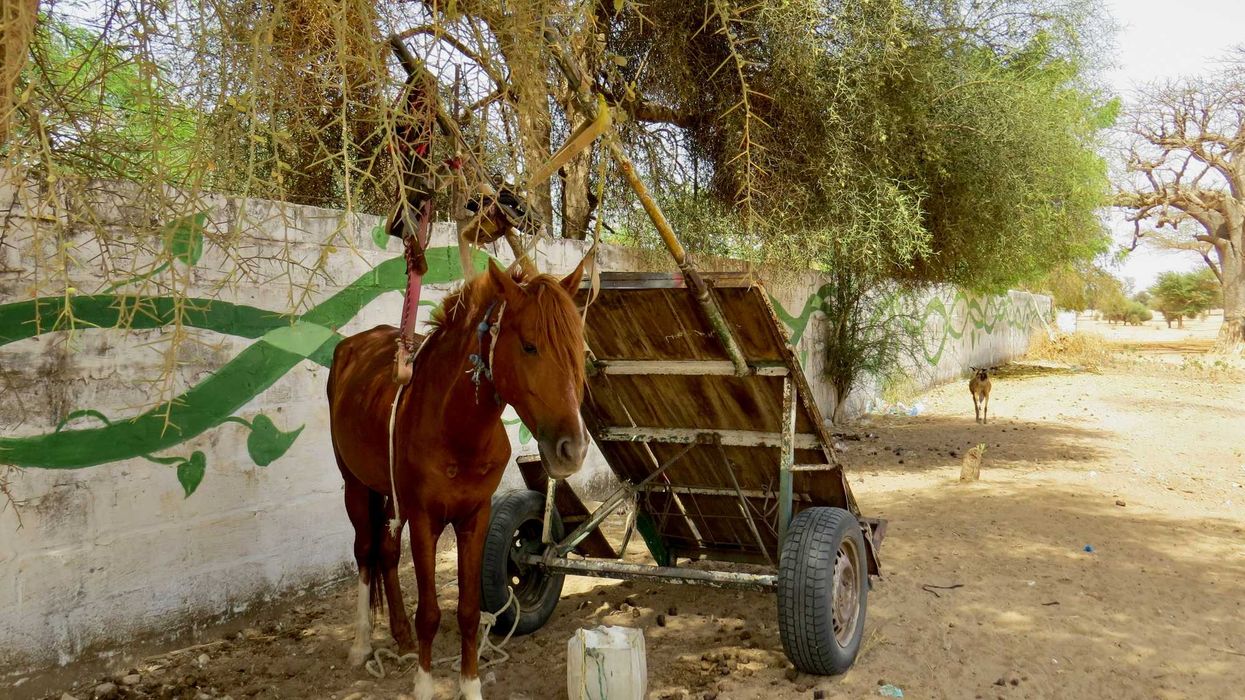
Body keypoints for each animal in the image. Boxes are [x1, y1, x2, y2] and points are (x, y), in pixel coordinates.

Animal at [326, 257, 590, 700]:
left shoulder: (474, 517)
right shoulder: (425, 521)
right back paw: (362, 643)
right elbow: (430, 613)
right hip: (356, 485)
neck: (455, 426)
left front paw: (470, 686)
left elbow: (468, 611)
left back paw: (400, 635)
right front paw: (424, 686)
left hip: (391, 495)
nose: (573, 449)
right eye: (529, 345)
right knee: (365, 551)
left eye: (580, 350)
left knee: (386, 552)